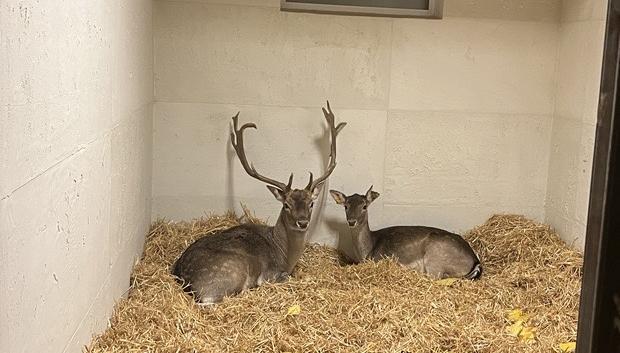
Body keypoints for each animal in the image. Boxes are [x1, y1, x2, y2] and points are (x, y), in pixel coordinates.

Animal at [172, 101, 344, 302]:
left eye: (311, 204)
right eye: (286, 205)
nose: (302, 222)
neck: (285, 256)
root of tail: (183, 278)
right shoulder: (271, 273)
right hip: (229, 273)